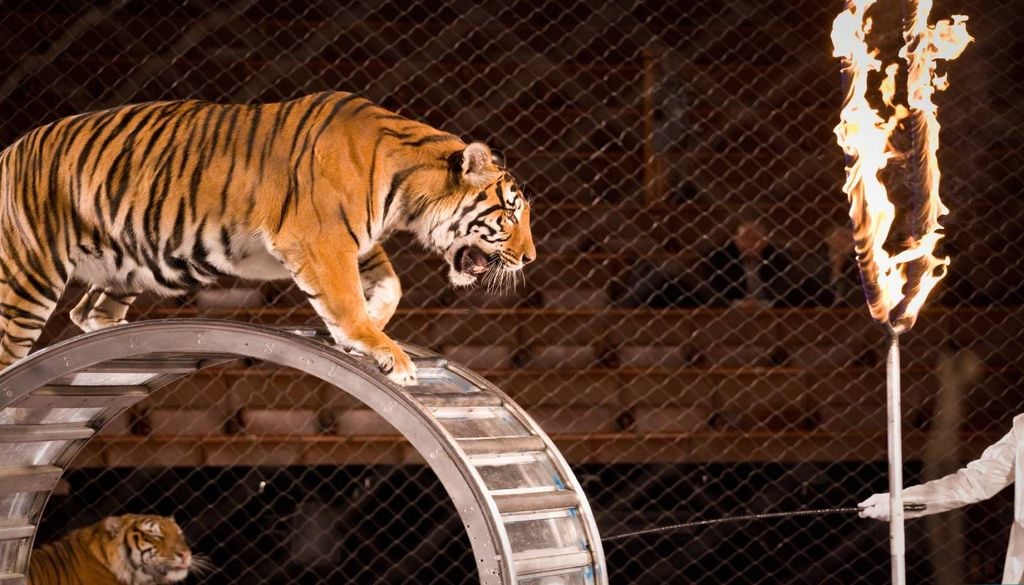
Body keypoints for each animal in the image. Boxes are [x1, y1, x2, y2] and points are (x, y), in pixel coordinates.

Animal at [0, 91, 535, 384]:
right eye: (511, 213)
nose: (529, 258)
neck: (407, 193)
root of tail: (9, 149)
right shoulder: (320, 240)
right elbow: (345, 301)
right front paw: (380, 346)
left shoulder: (350, 240)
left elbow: (389, 284)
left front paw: (374, 326)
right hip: (29, 276)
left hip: (125, 265)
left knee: (88, 313)